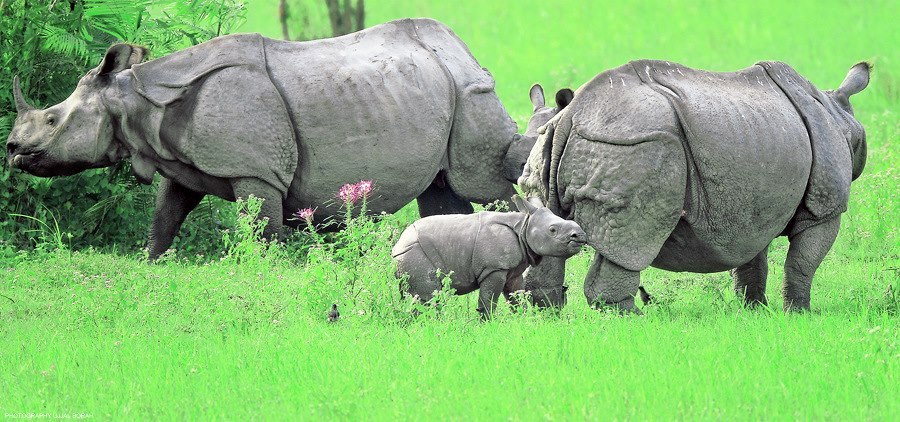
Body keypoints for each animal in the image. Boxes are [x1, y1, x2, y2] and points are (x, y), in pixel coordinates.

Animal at [390, 196, 588, 318]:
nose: (580, 235)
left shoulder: (513, 271)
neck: (524, 225)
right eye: (552, 230)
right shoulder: (494, 268)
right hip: (414, 253)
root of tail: (397, 246)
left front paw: (523, 319)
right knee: (429, 298)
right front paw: (487, 323)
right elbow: (489, 300)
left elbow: (517, 297)